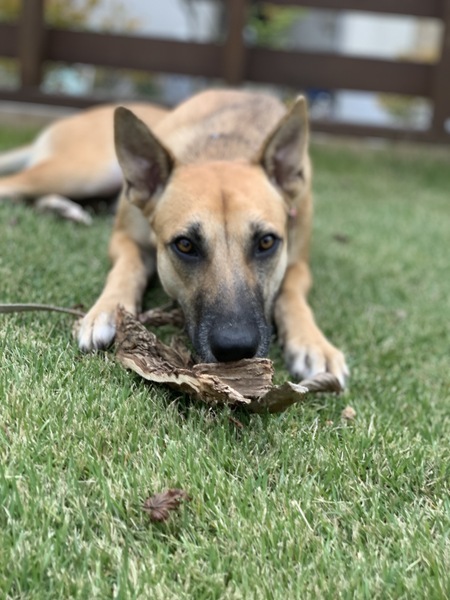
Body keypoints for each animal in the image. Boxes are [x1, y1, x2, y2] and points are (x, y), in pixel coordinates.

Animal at [0, 89, 348, 386]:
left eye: (266, 242)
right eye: (185, 245)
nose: (235, 349)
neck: (224, 146)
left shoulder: (299, 262)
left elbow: (292, 291)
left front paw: (313, 343)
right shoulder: (124, 239)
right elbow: (127, 267)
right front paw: (107, 309)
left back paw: (64, 209)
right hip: (84, 171)